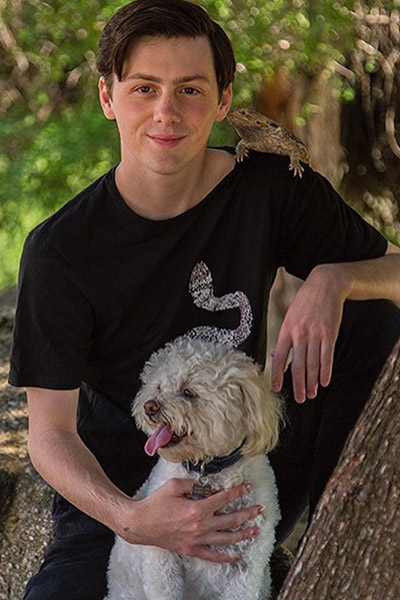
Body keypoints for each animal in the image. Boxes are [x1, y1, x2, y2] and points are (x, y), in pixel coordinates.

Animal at [104, 338, 282, 600]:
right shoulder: (161, 553)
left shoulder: (247, 560)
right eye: (158, 387)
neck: (206, 469)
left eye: (188, 392)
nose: (149, 406)